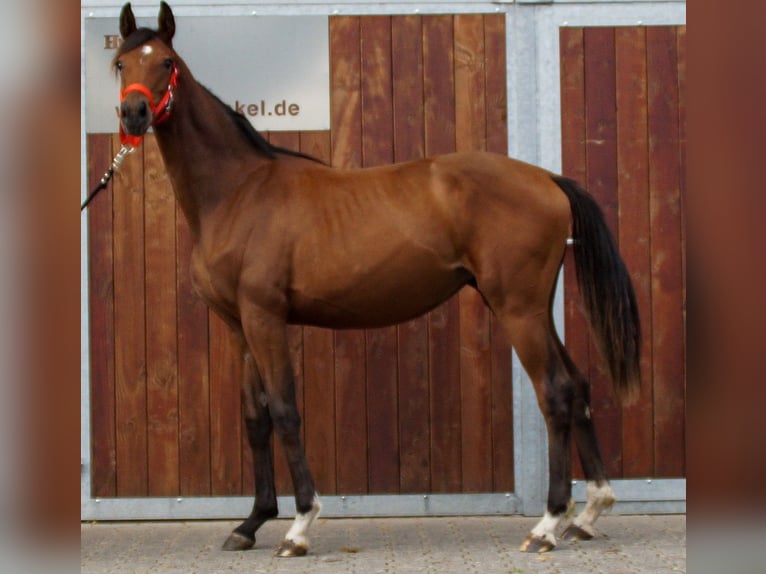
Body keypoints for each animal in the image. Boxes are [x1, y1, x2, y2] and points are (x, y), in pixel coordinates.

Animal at [110, 1, 641, 557]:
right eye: (121, 63)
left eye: (167, 62)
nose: (134, 114)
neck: (238, 191)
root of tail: (547, 179)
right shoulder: (239, 327)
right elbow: (256, 419)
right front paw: (250, 523)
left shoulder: (265, 318)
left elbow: (285, 411)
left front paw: (300, 525)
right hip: (530, 309)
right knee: (577, 386)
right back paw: (589, 513)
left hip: (518, 310)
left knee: (555, 393)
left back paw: (548, 524)